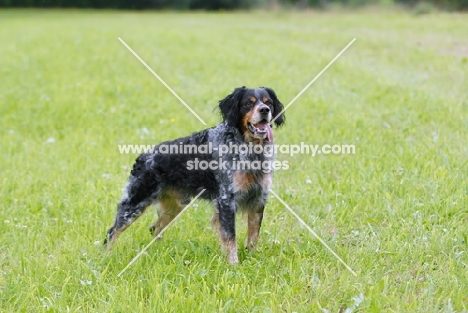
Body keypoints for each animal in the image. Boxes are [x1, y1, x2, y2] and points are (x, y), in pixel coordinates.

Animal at [103, 86, 286, 264]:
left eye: (268, 102)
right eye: (249, 103)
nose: (265, 110)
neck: (251, 150)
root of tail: (142, 157)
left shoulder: (259, 198)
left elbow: (253, 236)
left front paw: (253, 258)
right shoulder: (227, 200)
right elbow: (230, 238)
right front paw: (233, 264)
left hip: (173, 207)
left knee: (154, 229)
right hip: (134, 204)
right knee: (112, 232)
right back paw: (105, 256)